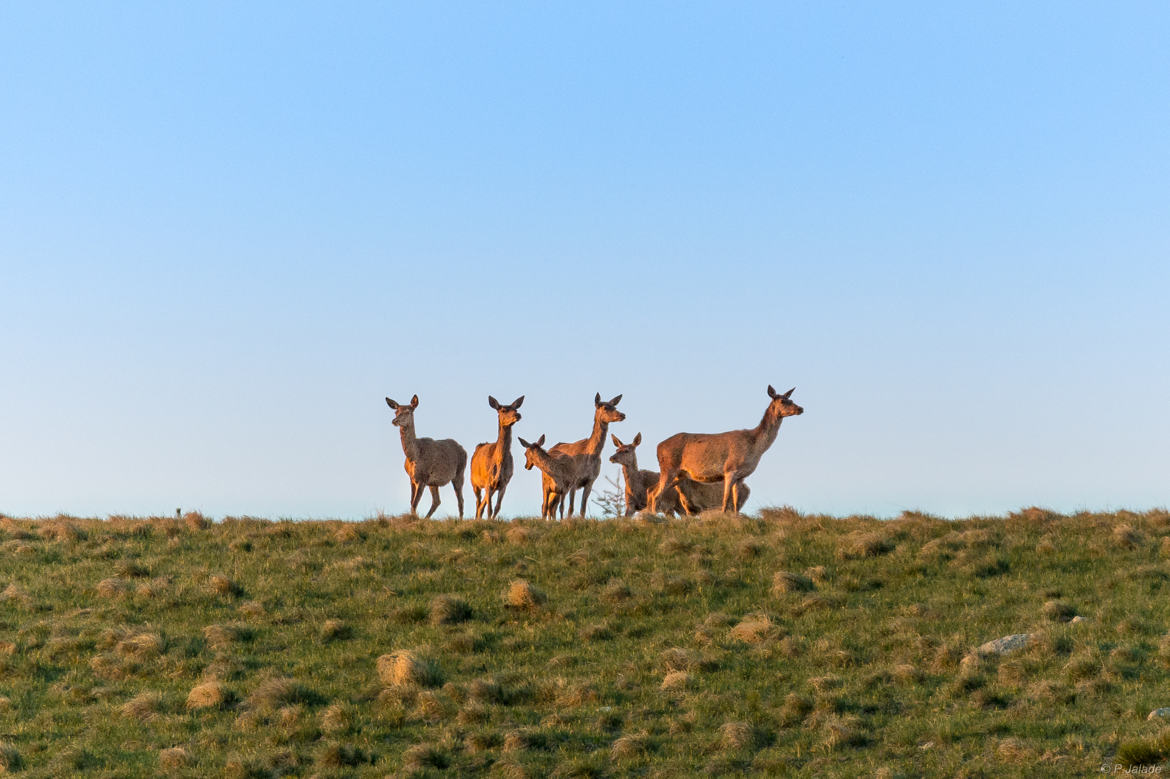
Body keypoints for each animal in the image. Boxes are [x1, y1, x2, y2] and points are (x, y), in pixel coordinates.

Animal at [650, 383, 804, 514]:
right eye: (782, 401)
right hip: (669, 467)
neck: (755, 447)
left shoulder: (741, 476)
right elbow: (725, 501)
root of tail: (658, 447)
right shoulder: (730, 469)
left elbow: (735, 504)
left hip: (679, 474)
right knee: (656, 495)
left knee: (652, 492)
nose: (800, 408)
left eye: (791, 399)